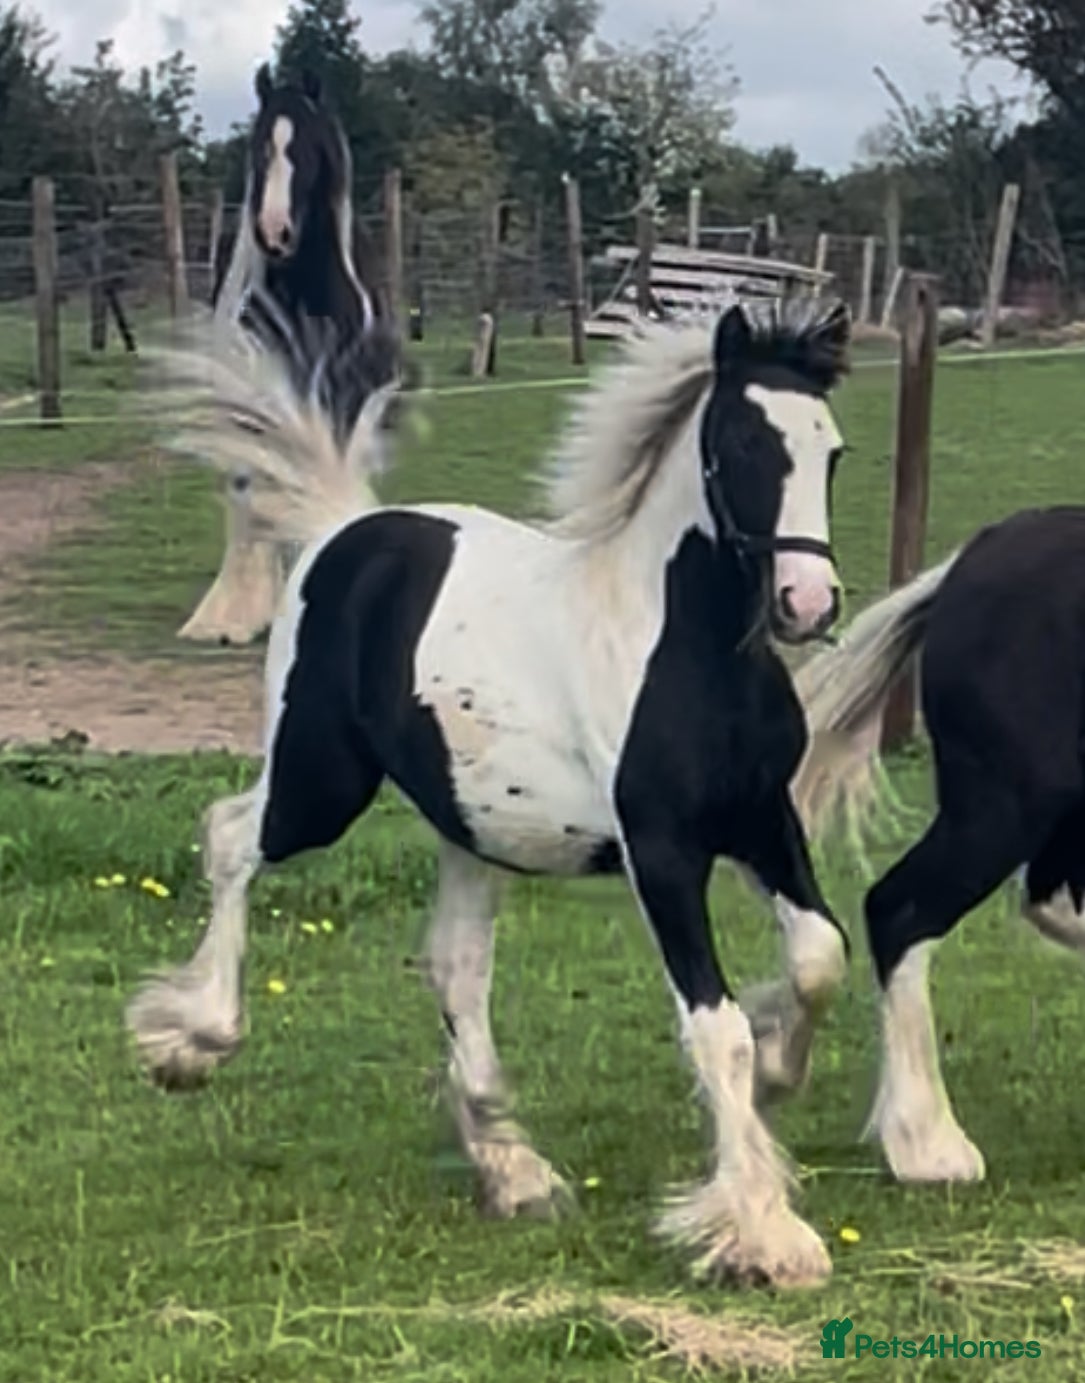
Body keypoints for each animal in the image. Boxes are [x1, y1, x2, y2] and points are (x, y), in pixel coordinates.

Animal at [128, 294, 855, 1289]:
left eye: (831, 449)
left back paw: (513, 1170)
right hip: (320, 782)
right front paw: (760, 1230)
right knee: (231, 835)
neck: (681, 648)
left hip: (470, 826)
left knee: (456, 966)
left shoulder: (759, 821)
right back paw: (192, 1043)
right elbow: (717, 1028)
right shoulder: (663, 850)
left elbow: (819, 956)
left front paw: (780, 1071)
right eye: (743, 442)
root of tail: (342, 529)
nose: (807, 602)